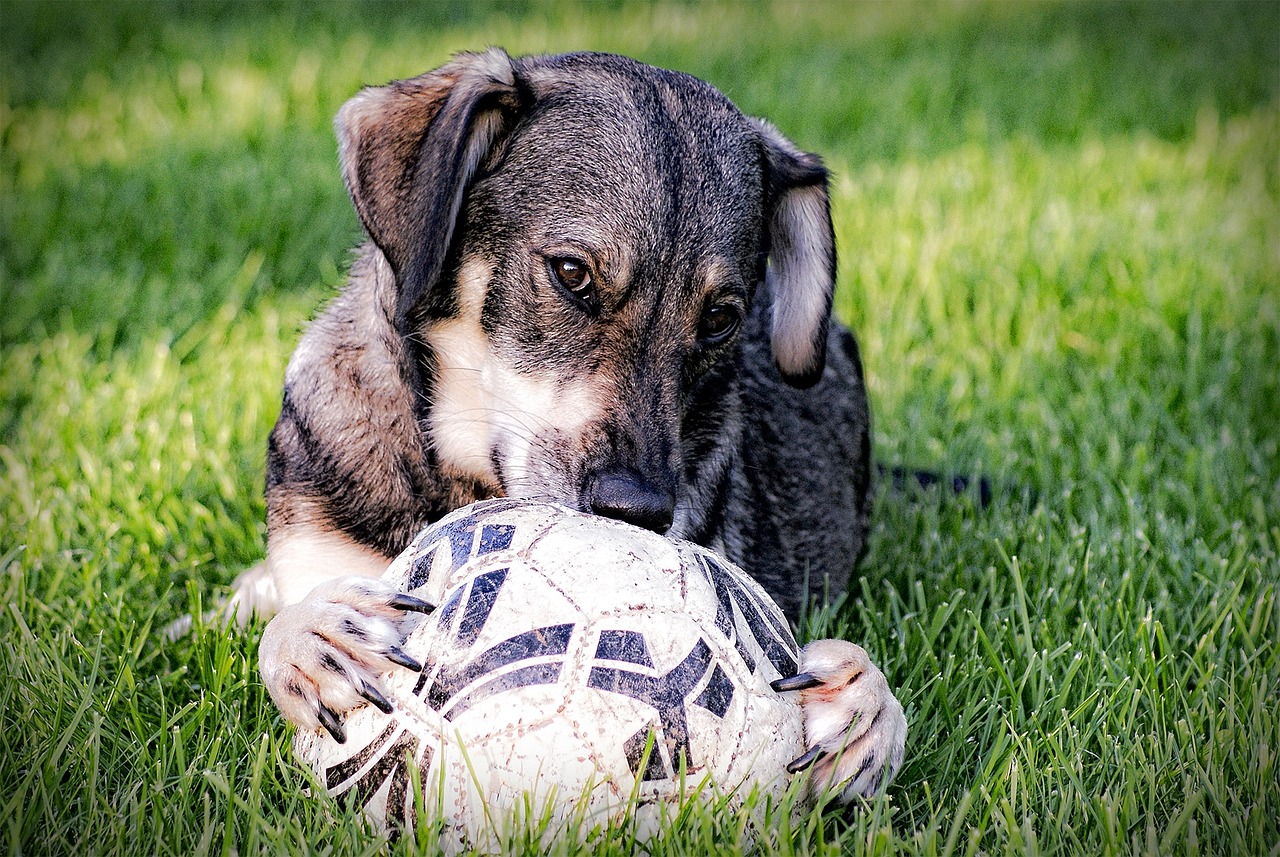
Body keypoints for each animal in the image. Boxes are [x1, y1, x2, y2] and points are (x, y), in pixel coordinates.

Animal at [238, 50, 901, 808]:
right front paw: (308, 634)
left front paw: (866, 707)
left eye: (720, 318)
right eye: (571, 272)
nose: (636, 513)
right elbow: (291, 617)